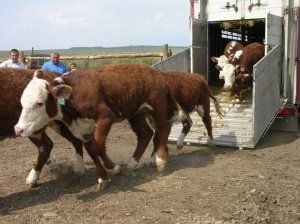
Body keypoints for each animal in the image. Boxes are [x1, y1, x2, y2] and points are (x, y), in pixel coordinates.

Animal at [14, 64, 188, 190]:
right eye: (22, 102)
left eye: (39, 103)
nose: (18, 129)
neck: (74, 95)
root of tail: (157, 72)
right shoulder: (82, 129)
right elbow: (91, 149)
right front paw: (102, 178)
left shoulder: (105, 117)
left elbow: (97, 147)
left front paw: (115, 168)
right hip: (137, 113)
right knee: (146, 134)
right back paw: (134, 163)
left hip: (156, 107)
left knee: (164, 127)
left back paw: (160, 160)